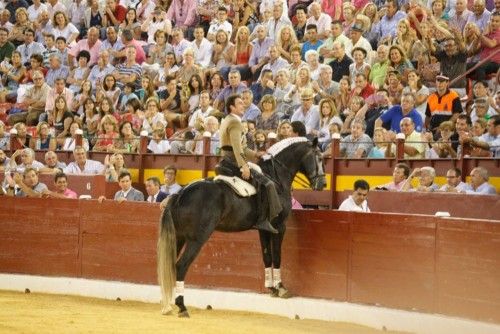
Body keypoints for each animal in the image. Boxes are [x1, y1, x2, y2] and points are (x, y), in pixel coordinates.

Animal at [158, 138, 326, 316]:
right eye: (319, 158)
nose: (323, 183)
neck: (276, 177)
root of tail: (180, 194)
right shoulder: (280, 226)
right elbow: (277, 256)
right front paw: (281, 288)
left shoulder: (264, 229)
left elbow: (267, 256)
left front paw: (271, 288)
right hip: (197, 238)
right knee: (181, 265)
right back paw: (181, 306)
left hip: (178, 237)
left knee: (170, 266)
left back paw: (168, 304)